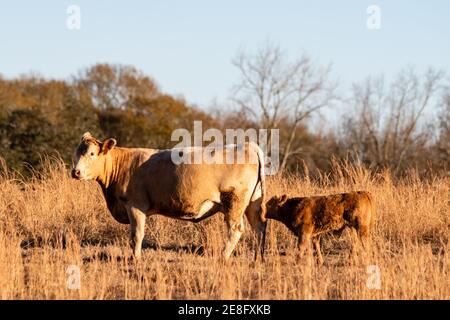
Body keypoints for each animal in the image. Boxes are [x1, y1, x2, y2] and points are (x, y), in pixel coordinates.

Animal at [71, 132, 266, 260]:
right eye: (76, 153)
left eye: (92, 153)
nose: (76, 172)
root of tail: (248, 145)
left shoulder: (135, 205)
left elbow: (137, 234)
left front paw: (136, 258)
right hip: (252, 203)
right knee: (259, 227)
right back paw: (257, 257)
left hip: (235, 202)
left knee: (235, 229)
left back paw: (223, 256)